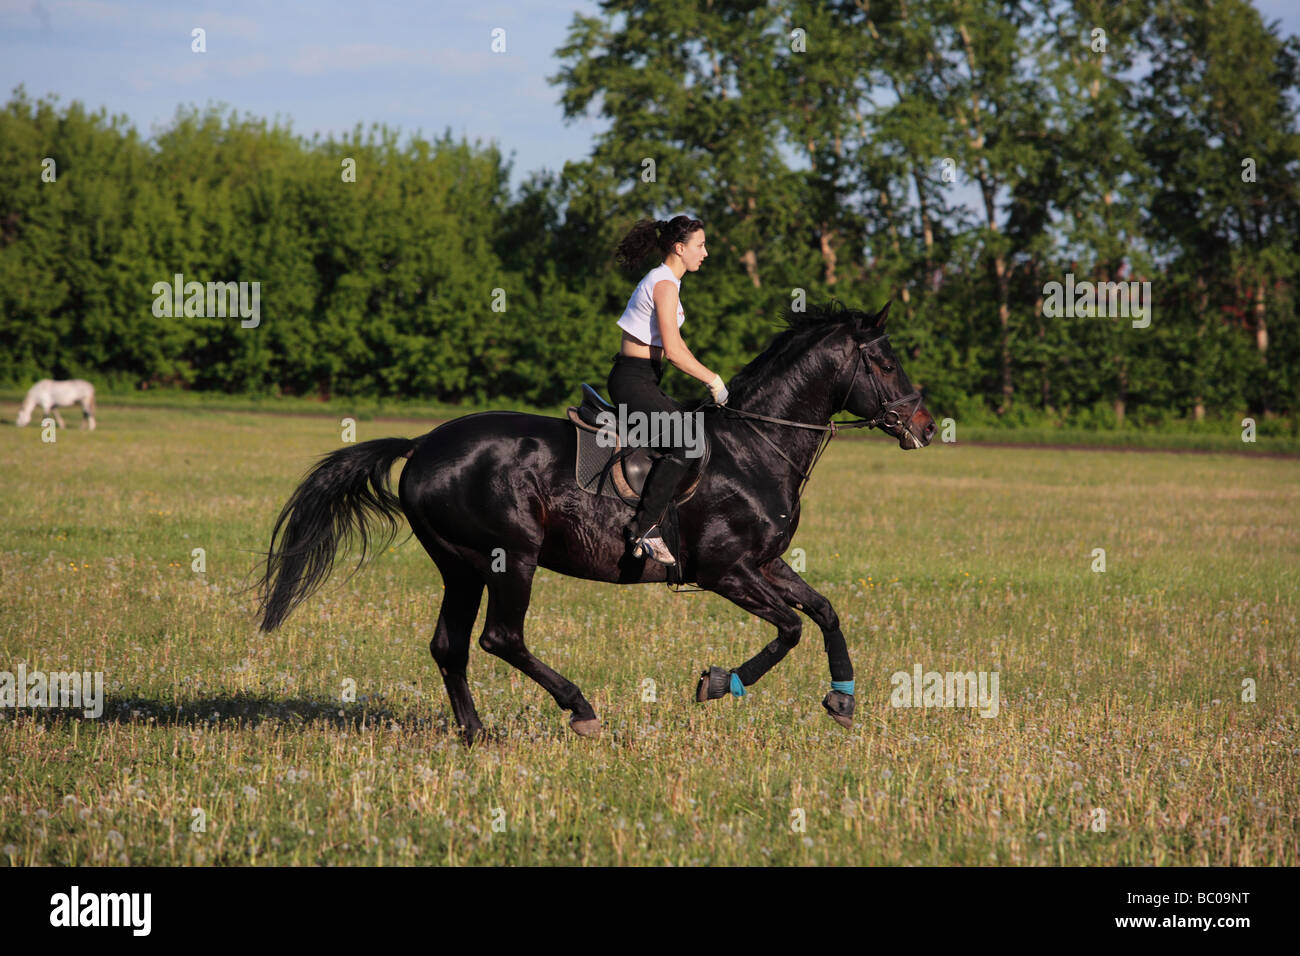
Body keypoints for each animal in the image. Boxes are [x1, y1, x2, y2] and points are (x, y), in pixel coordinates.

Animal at [256, 297, 935, 738]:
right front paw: (718, 684)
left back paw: (476, 733)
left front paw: (842, 700)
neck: (757, 444)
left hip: (462, 565)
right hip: (511, 557)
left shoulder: (765, 564)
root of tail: (422, 445)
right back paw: (579, 709)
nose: (926, 428)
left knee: (450, 646)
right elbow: (790, 629)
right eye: (884, 364)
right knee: (500, 638)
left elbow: (824, 612)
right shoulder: (726, 571)